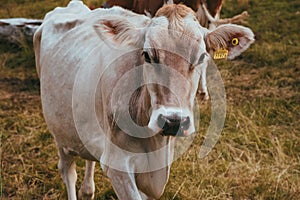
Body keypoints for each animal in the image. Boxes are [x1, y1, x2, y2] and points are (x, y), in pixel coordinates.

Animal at [34, 0, 253, 199]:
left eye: (201, 57)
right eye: (147, 55)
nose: (173, 121)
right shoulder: (118, 166)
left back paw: (87, 190)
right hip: (59, 131)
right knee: (68, 171)